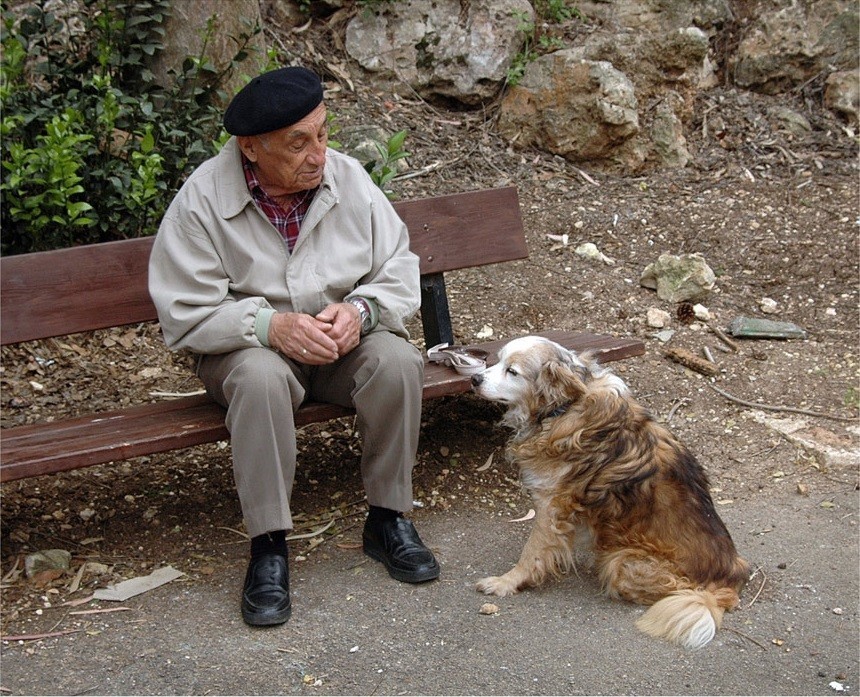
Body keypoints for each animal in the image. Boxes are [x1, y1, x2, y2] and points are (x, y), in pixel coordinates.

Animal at [470, 334, 744, 648]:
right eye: (497, 359)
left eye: (512, 371)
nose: (474, 379)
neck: (566, 406)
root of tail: (727, 582)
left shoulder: (551, 505)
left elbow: (532, 553)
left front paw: (507, 582)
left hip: (622, 562)